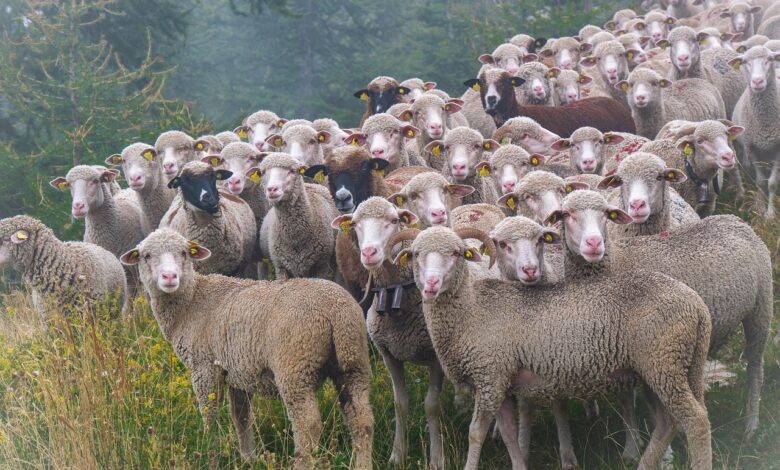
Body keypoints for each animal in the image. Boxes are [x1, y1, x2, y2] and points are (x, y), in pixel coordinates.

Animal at [119, 229, 372, 468]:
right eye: (146, 256)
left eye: (184, 253)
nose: (170, 277)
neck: (191, 301)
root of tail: (335, 309)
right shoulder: (237, 372)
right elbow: (241, 416)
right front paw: (248, 457)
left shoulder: (204, 368)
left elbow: (209, 414)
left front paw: (210, 451)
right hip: (353, 361)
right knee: (362, 420)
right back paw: (362, 464)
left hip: (295, 366)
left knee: (308, 426)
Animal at [388, 223, 712, 470]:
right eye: (415, 254)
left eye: (456, 253)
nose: (431, 284)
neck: (471, 310)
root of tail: (697, 305)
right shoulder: (502, 381)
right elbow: (508, 433)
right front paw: (520, 465)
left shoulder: (489, 376)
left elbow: (475, 434)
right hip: (664, 368)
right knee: (668, 423)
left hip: (663, 362)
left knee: (694, 420)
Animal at [549, 190, 772, 442]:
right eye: (566, 214)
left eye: (606, 214)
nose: (594, 243)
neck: (616, 260)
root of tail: (735, 220)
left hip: (761, 307)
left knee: (755, 366)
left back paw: (751, 425)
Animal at [729, 45, 780, 217]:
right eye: (745, 62)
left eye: (769, 59)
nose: (757, 81)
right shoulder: (751, 147)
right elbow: (760, 181)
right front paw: (760, 207)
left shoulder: (778, 149)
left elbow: (772, 183)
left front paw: (770, 215)